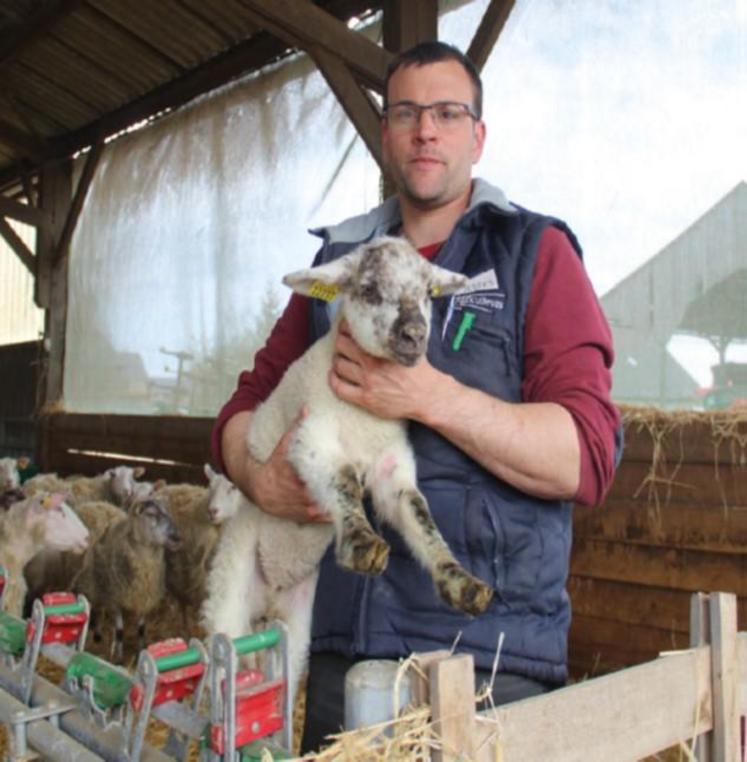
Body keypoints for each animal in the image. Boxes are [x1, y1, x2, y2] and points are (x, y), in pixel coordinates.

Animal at [71, 492, 181, 660]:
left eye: (169, 513)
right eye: (151, 514)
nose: (176, 537)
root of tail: (94, 503)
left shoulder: (144, 597)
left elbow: (141, 628)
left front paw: (141, 649)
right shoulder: (115, 598)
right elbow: (120, 631)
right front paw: (119, 657)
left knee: (99, 608)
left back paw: (98, 634)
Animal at [205, 236, 496, 700]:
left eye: (427, 292)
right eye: (370, 290)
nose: (415, 335)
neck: (364, 423)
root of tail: (267, 600)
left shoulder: (392, 467)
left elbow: (419, 513)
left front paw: (460, 581)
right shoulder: (311, 440)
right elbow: (344, 481)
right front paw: (361, 544)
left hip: (295, 625)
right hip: (229, 590)